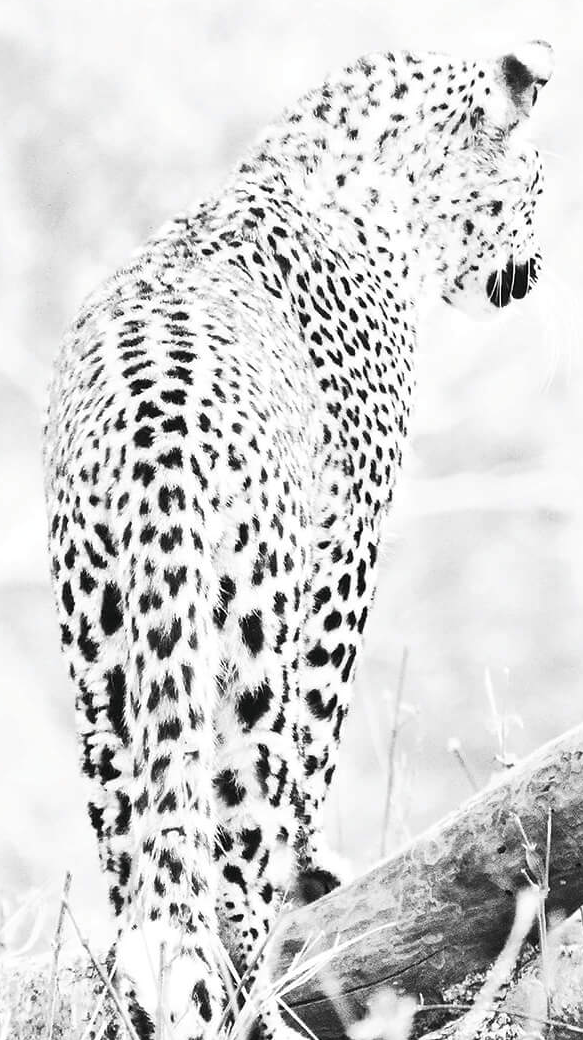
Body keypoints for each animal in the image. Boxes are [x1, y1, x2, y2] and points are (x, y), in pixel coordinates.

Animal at [43, 39, 553, 1040]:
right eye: (538, 183)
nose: (541, 265)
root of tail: (156, 435)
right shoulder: (347, 546)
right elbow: (319, 741)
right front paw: (313, 872)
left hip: (104, 653)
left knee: (138, 865)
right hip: (248, 636)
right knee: (235, 833)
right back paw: (255, 984)